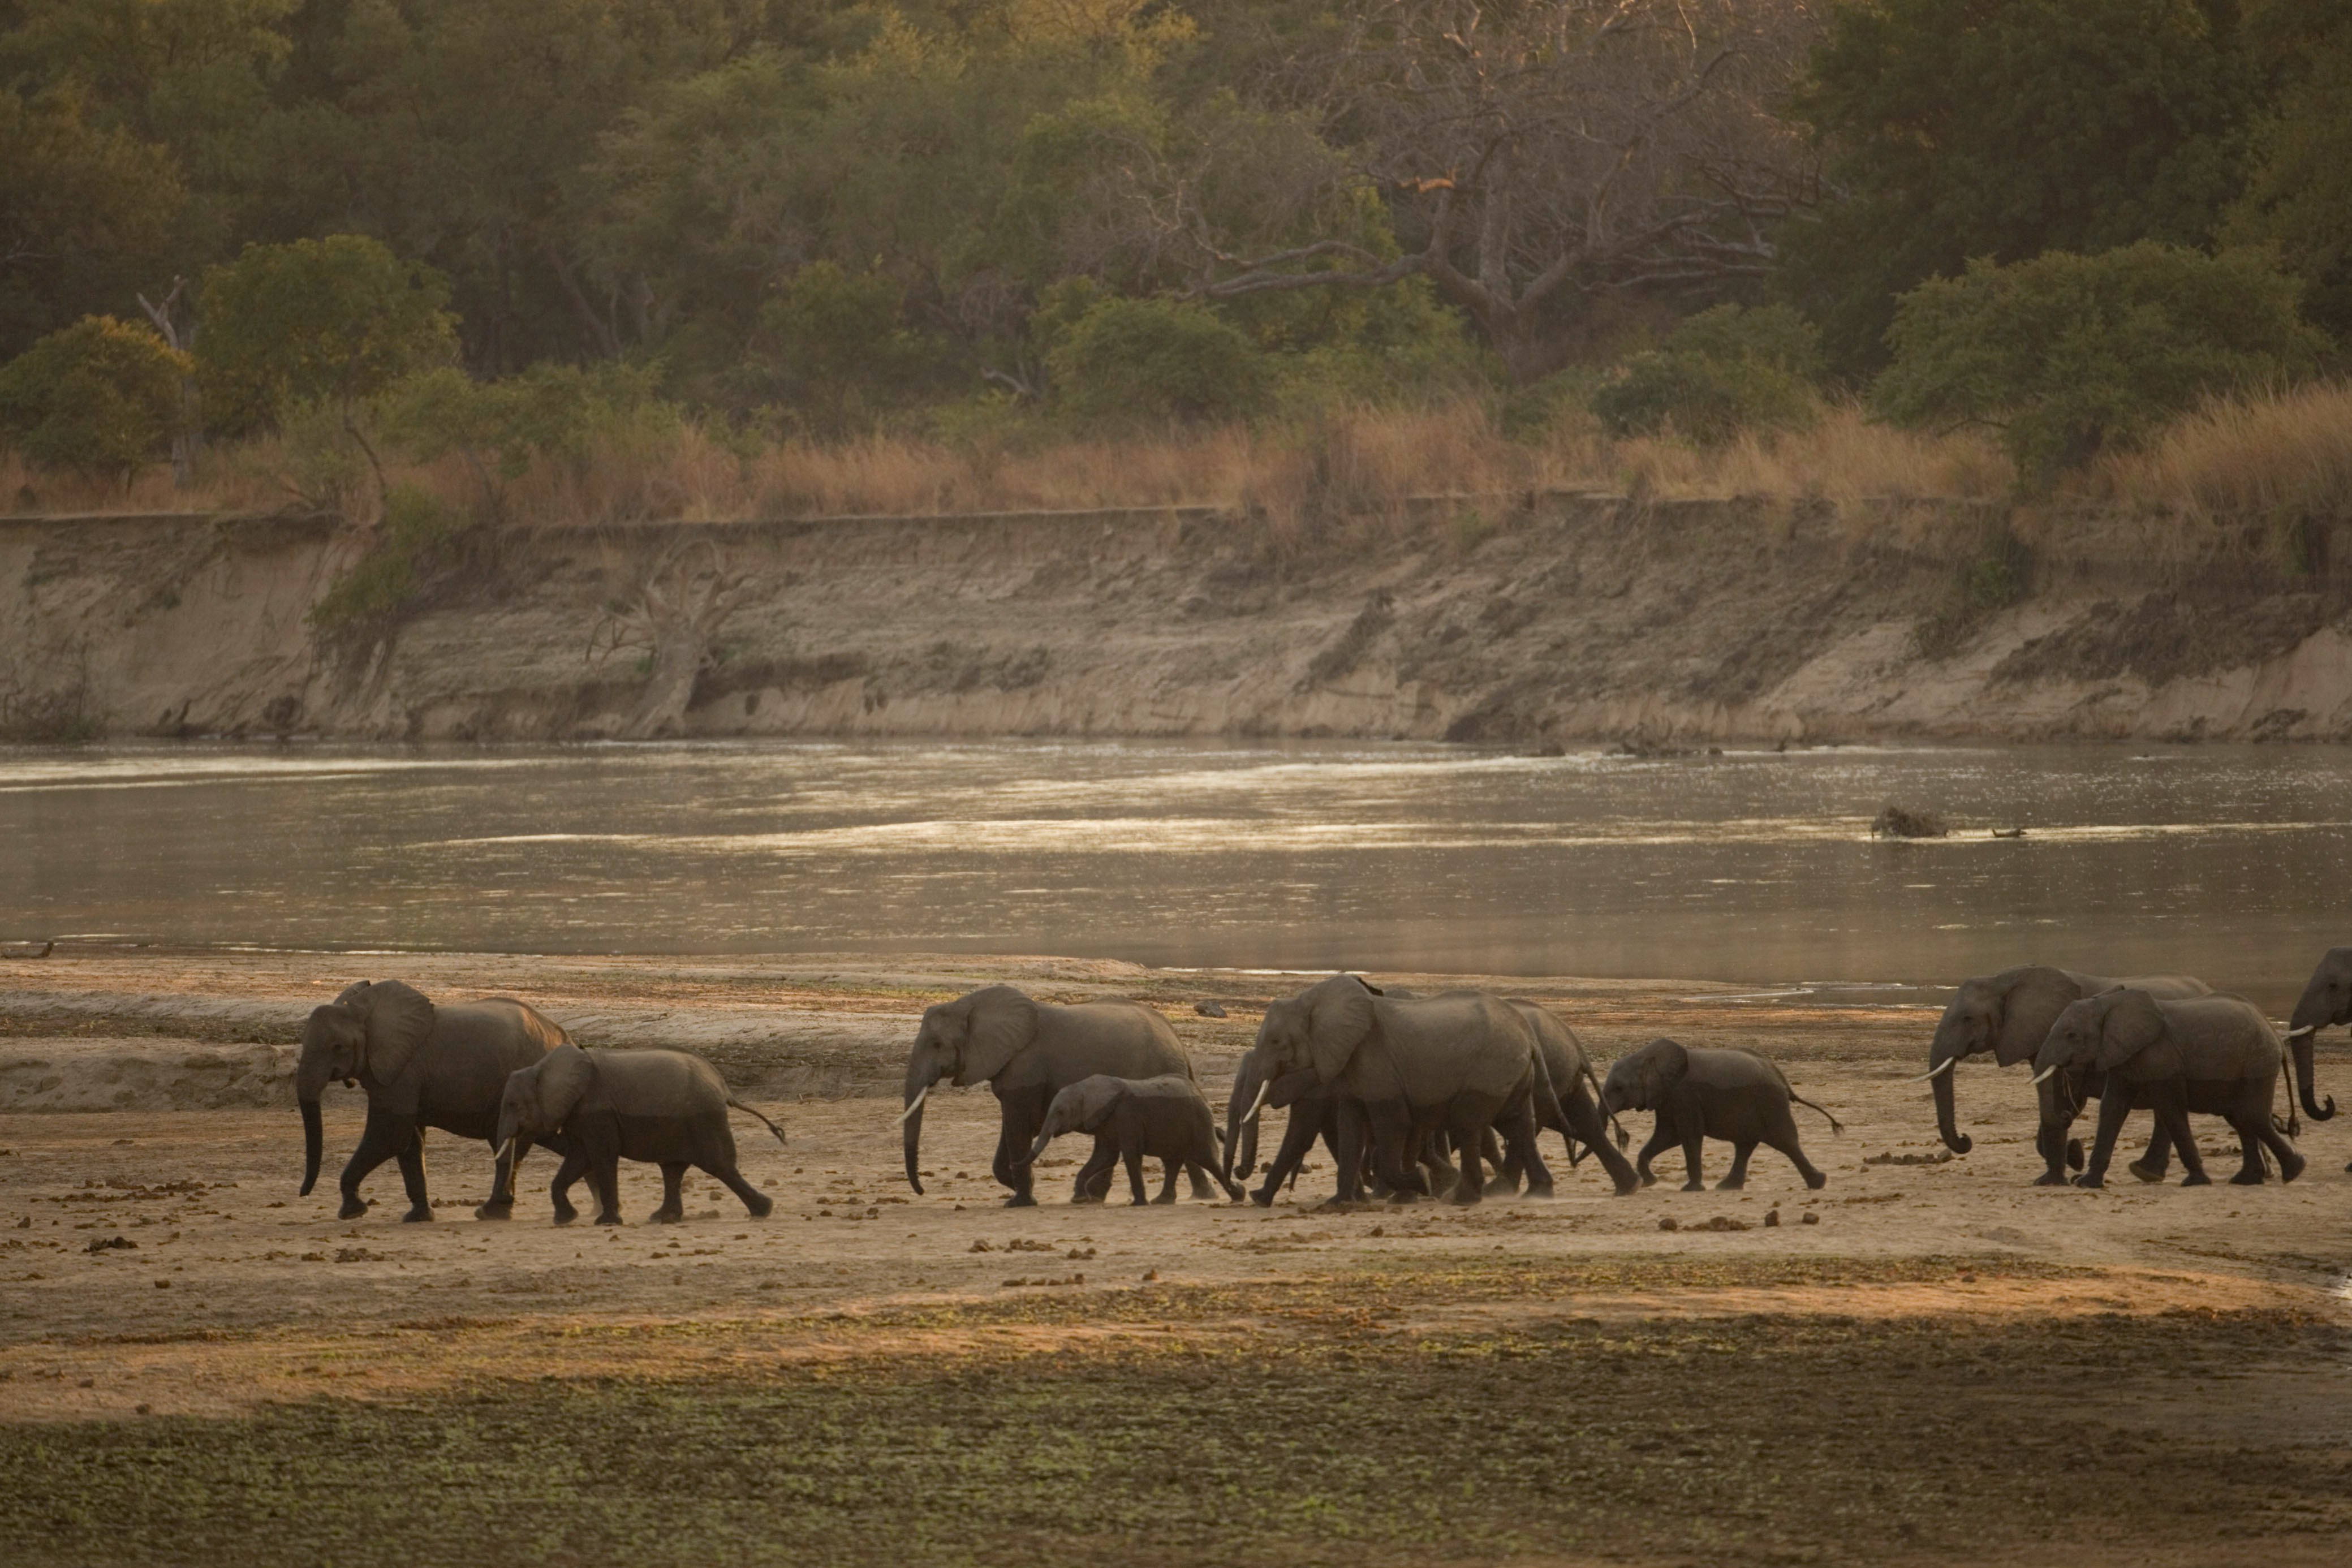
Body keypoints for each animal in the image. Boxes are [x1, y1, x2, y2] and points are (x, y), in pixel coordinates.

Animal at [496, 1044, 790, 1222]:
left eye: (512, 1105)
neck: (542, 1068)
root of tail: (723, 1086)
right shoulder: (579, 1114)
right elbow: (580, 1158)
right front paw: (565, 1220)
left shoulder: (597, 1112)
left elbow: (601, 1157)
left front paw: (606, 1223)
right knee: (673, 1169)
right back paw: (664, 1218)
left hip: (704, 1120)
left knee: (719, 1167)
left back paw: (764, 1211)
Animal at [898, 987, 1195, 1213]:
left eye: (937, 1044)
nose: (922, 1191)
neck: (968, 1005)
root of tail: (1178, 1041)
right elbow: (1011, 1131)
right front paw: (1024, 1189)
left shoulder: (1024, 1068)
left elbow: (1017, 1128)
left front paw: (1019, 1202)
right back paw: (1094, 1197)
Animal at [1030, 1072, 1251, 1213]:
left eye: (1060, 1112)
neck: (1085, 1086)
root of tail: (1201, 1095)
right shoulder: (1106, 1123)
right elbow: (1105, 1158)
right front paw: (1080, 1200)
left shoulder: (1127, 1117)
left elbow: (1129, 1155)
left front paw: (1138, 1204)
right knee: (1172, 1163)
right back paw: (1162, 1201)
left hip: (1198, 1124)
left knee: (1208, 1160)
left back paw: (1239, 1195)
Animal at [1599, 1044, 1834, 1189]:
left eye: (1619, 1088)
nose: (1622, 1136)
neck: (1646, 1056)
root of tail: (1780, 1075)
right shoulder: (1668, 1097)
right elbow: (1667, 1136)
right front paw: (1651, 1182)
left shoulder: (1685, 1095)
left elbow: (1687, 1136)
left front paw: (1690, 1189)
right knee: (1745, 1145)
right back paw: (1727, 1187)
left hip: (1771, 1102)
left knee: (1785, 1141)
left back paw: (1819, 1183)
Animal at [2032, 992, 2304, 1189]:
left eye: (2072, 1035)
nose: (2067, 1114)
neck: (2107, 1003)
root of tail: (2275, 1035)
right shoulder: (2123, 1055)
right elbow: (2111, 1109)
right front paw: (2087, 1184)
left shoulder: (2162, 1058)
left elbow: (2170, 1109)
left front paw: (2195, 1182)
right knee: (2241, 1118)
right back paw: (2249, 1180)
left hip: (2258, 1064)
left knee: (2250, 1115)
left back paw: (2294, 1171)